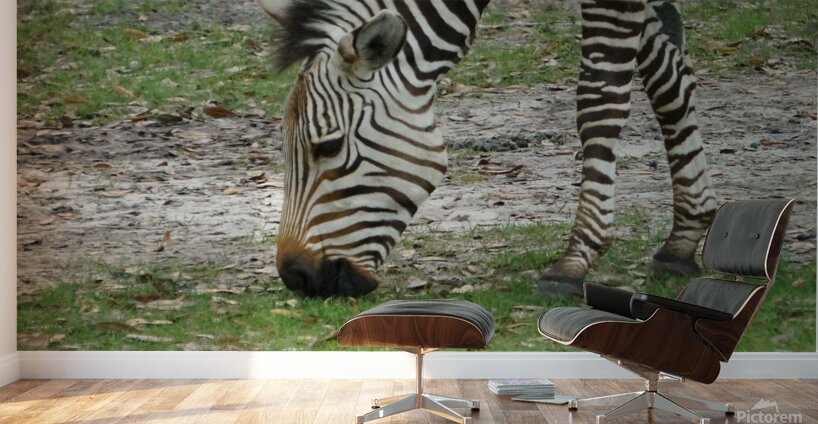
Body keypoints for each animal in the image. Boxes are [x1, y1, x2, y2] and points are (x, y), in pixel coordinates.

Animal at [258, 0, 717, 298]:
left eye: (330, 146)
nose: (297, 278)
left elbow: (601, 99)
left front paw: (574, 259)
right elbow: (667, 75)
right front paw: (684, 236)